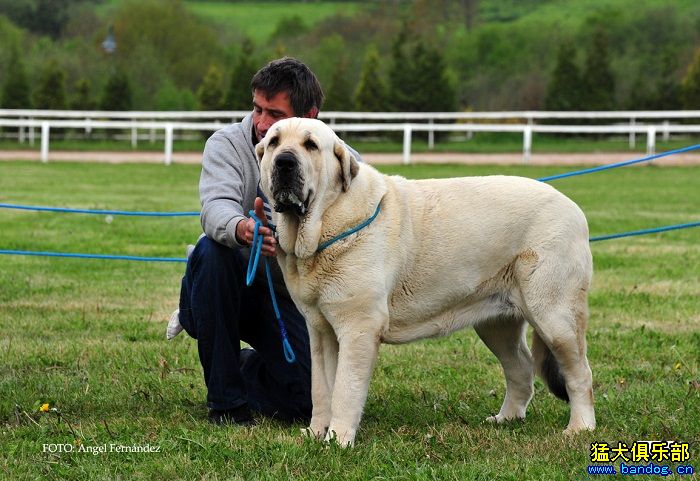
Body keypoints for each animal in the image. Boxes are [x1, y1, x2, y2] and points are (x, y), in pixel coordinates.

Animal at [258, 117, 596, 446]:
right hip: (496, 324)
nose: (284, 161)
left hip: (555, 318)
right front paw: (316, 434)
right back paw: (507, 418)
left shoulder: (358, 327)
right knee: (521, 368)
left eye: (310, 145)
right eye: (274, 142)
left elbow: (344, 389)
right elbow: (321, 389)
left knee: (580, 373)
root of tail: (574, 208)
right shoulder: (320, 331)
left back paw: (579, 428)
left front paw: (338, 440)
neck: (324, 224)